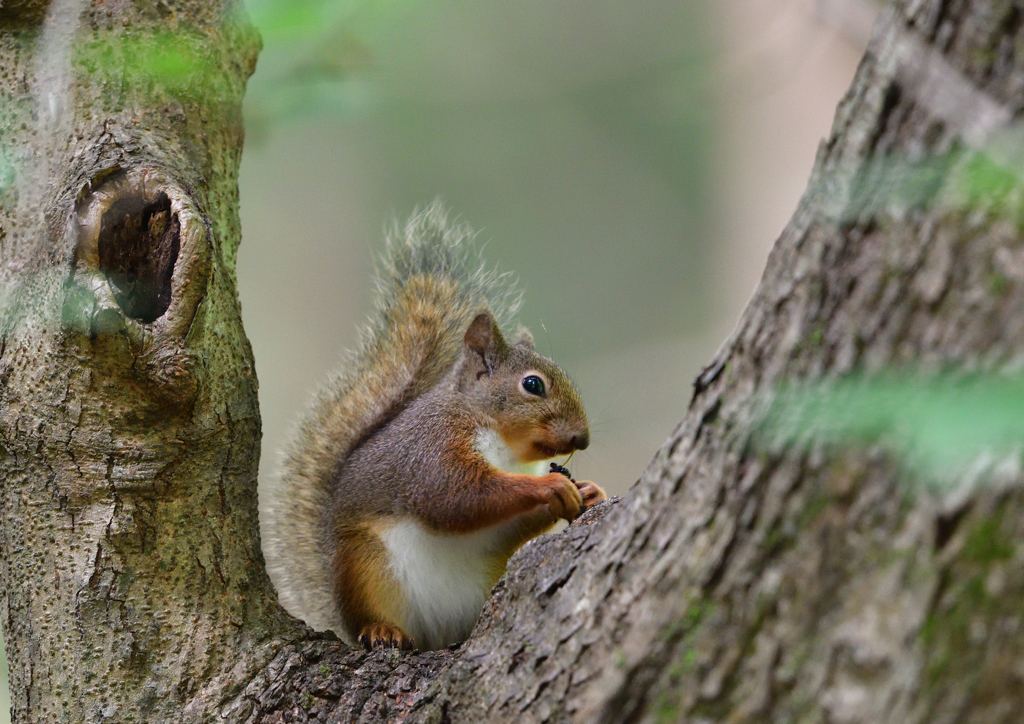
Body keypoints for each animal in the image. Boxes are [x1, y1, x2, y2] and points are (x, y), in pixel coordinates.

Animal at [260, 202, 602, 651]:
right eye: (533, 385)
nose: (583, 438)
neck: (506, 446)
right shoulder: (431, 448)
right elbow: (455, 496)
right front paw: (548, 487)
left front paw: (589, 491)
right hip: (366, 567)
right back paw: (381, 629)